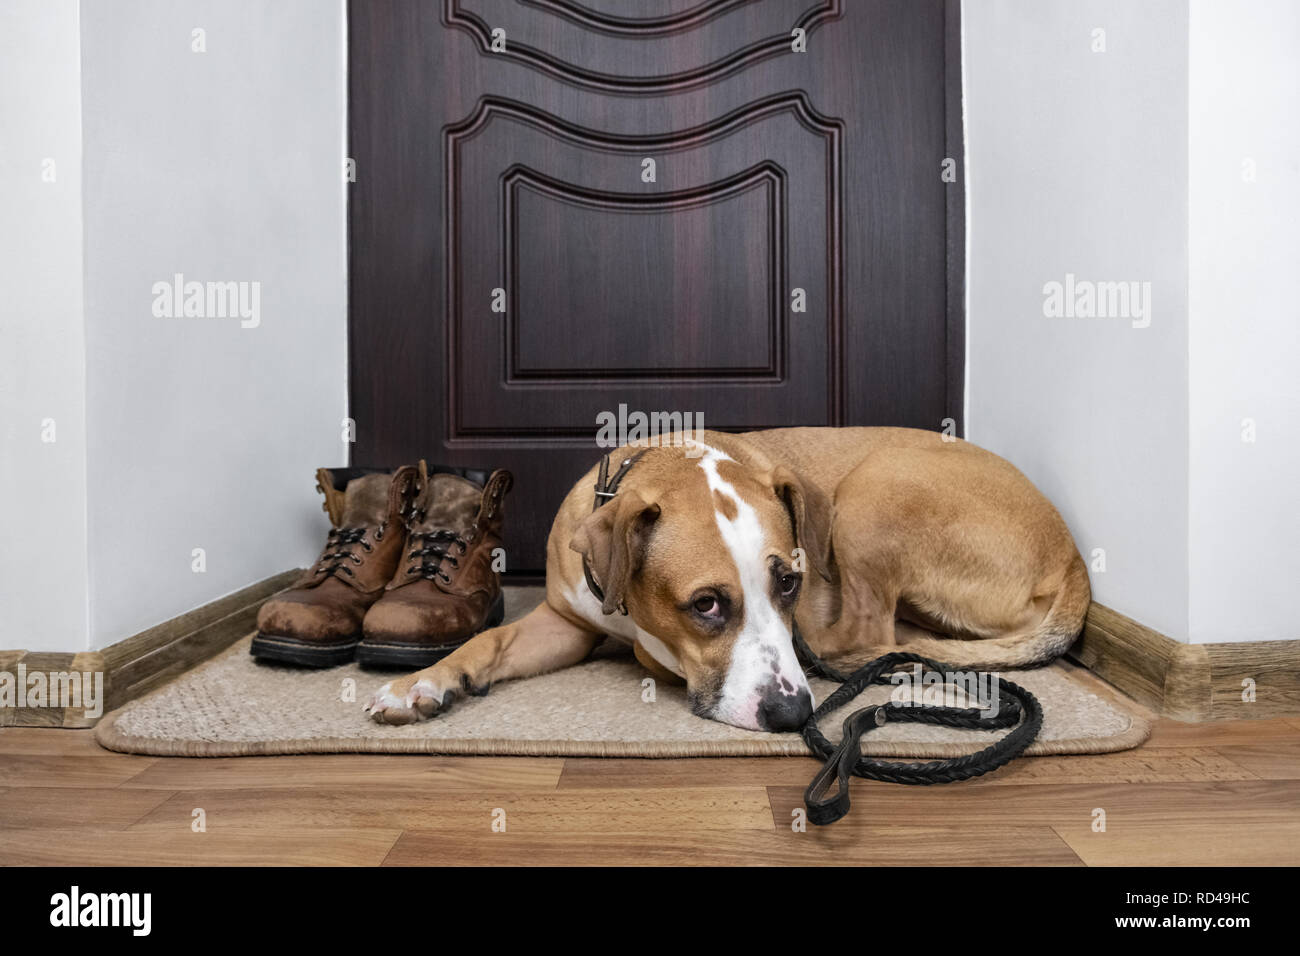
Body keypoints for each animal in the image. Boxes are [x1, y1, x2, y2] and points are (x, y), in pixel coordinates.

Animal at [364, 429, 1086, 733]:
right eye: (706, 604)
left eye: (790, 585)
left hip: (877, 486)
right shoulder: (564, 624)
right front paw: (423, 683)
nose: (794, 716)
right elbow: (487, 643)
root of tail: (1073, 557)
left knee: (866, 631)